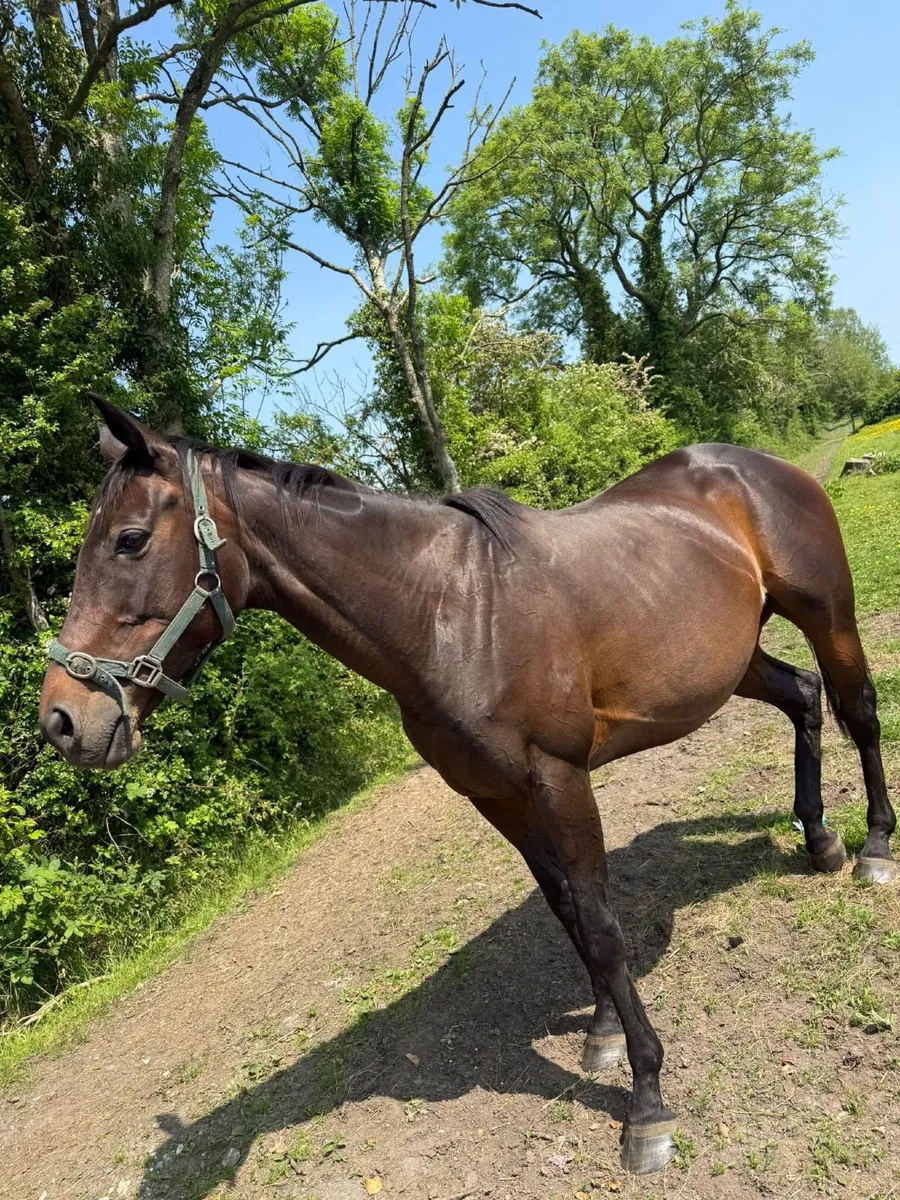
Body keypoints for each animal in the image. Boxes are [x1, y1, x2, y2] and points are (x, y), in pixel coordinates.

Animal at [39, 397, 897, 1174]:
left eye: (129, 540)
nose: (62, 721)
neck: (446, 610)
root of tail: (756, 466)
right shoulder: (498, 796)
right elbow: (570, 912)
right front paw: (602, 1035)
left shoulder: (558, 777)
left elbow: (601, 925)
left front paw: (647, 1102)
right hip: (732, 660)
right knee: (804, 698)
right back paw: (817, 839)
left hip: (828, 615)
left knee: (858, 712)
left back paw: (873, 849)